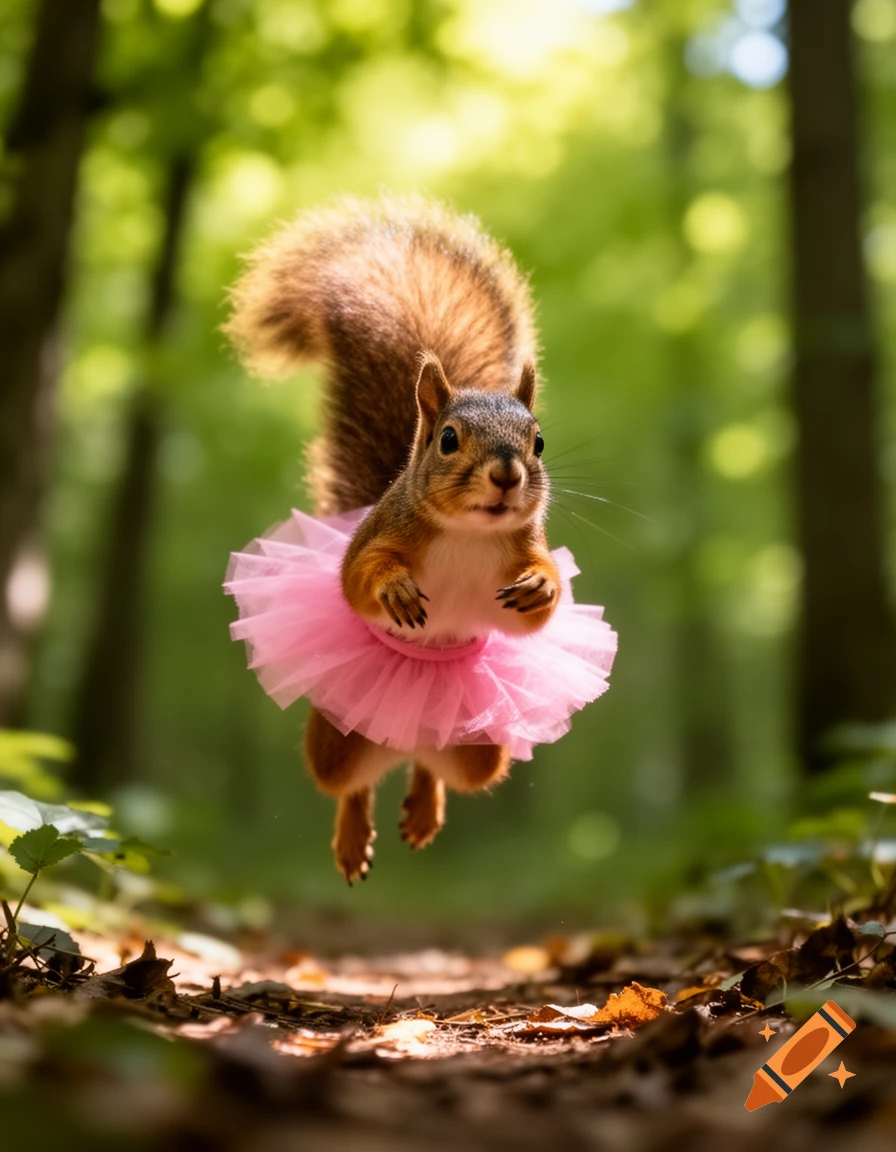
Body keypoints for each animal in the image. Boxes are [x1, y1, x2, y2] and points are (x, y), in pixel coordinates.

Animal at [225, 195, 560, 884]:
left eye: (539, 442)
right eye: (449, 439)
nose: (507, 475)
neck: (467, 534)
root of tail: (406, 735)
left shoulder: (521, 551)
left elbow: (533, 615)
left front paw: (542, 586)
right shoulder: (381, 536)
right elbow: (358, 580)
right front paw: (395, 590)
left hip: (477, 750)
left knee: (432, 769)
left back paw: (423, 809)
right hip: (338, 740)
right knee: (349, 785)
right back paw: (353, 837)